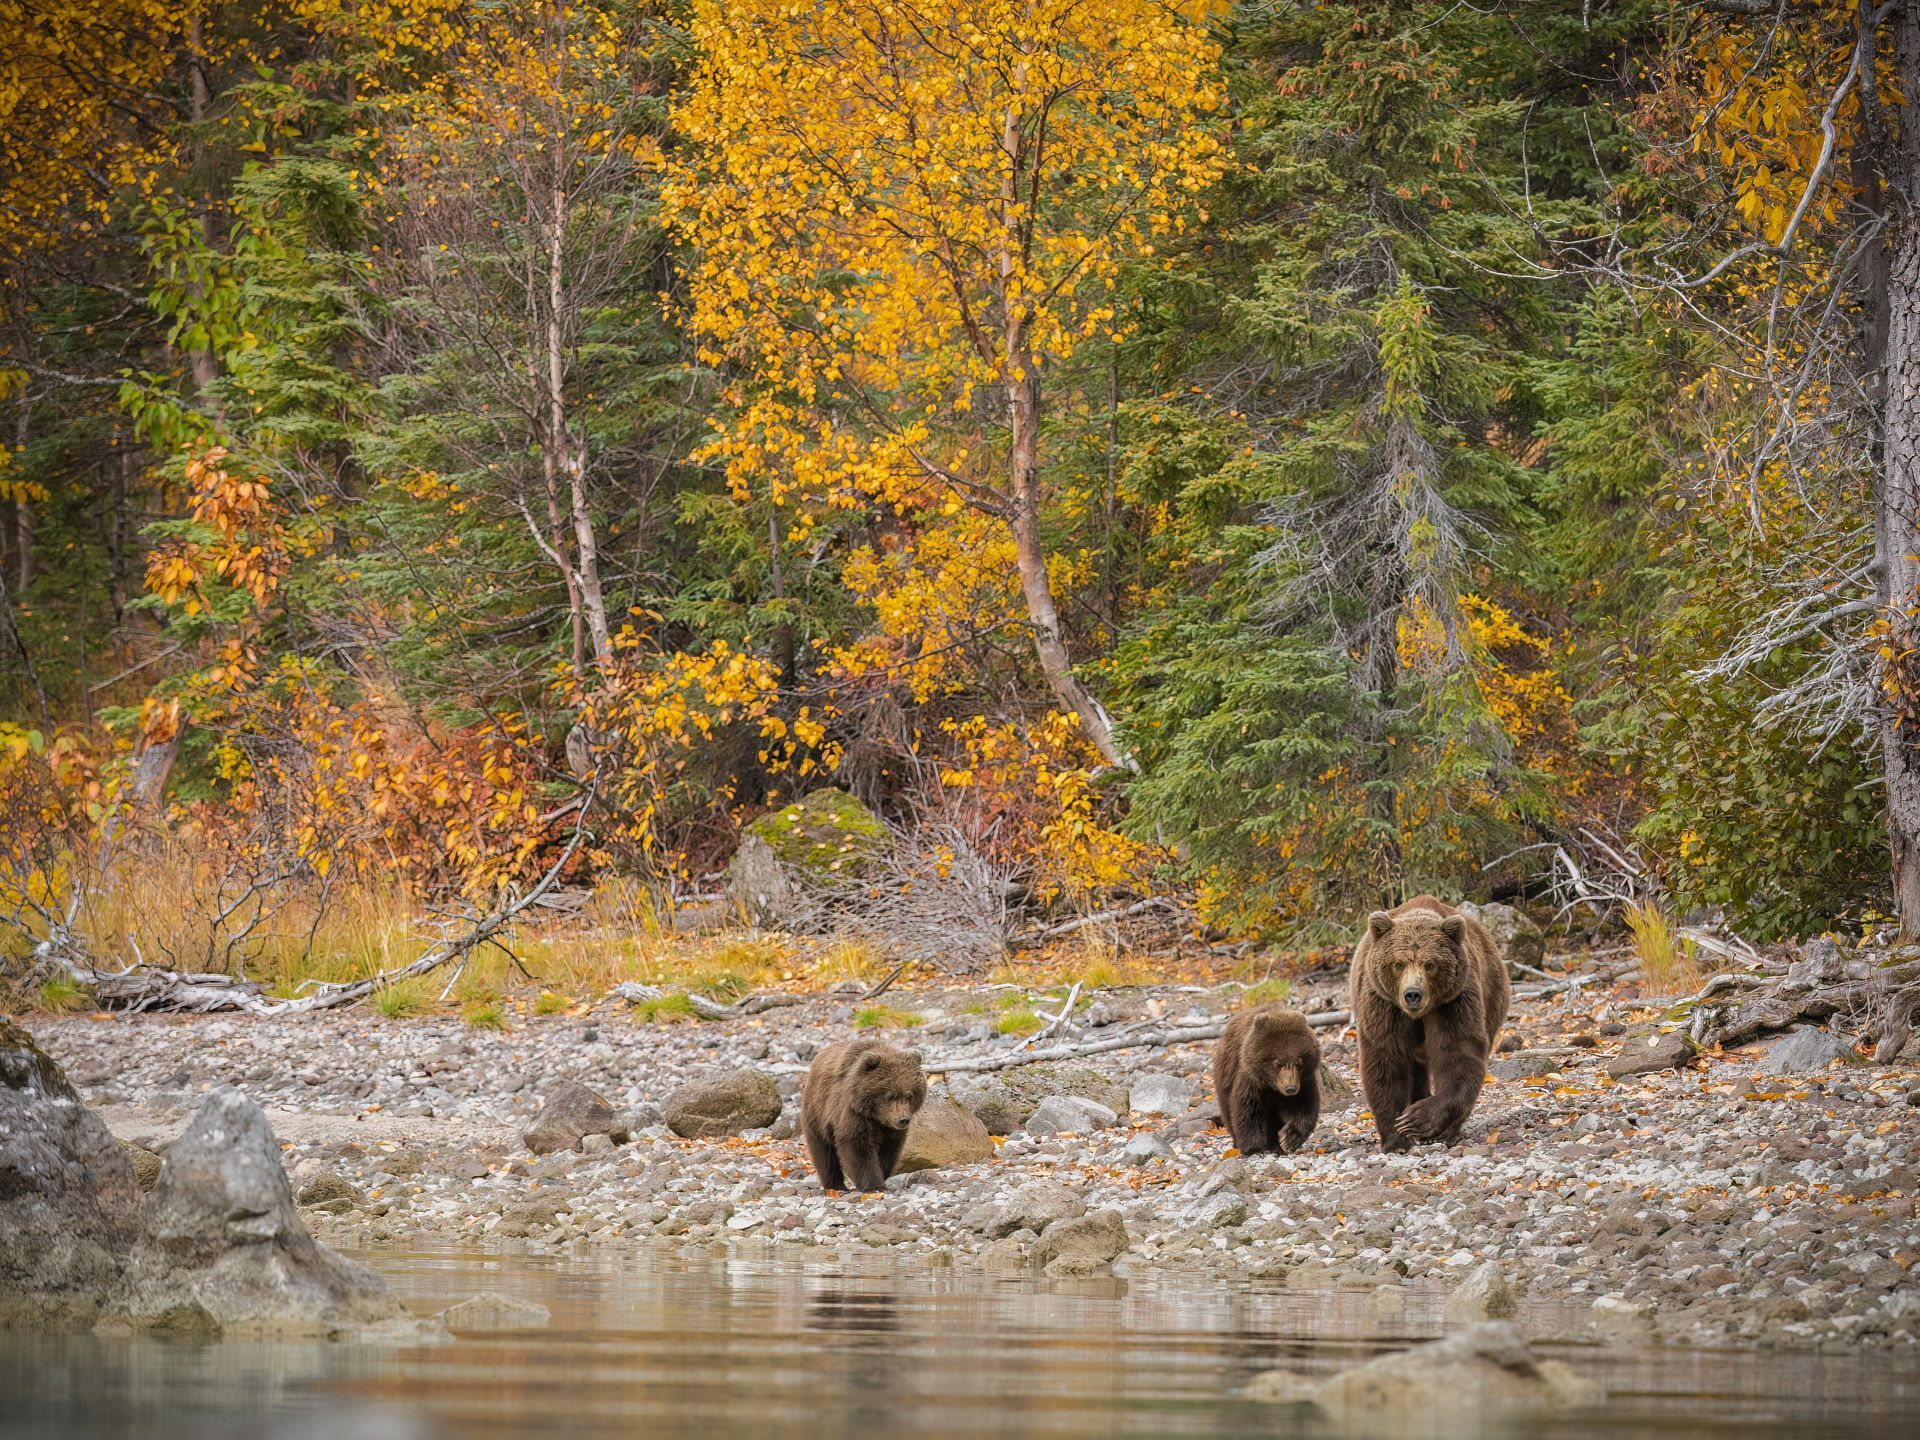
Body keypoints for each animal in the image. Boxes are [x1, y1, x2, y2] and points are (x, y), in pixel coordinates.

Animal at [801, 1037, 928, 1192]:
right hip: (817, 1112)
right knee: (824, 1152)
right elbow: (857, 1147)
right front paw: (875, 1185)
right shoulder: (853, 1114)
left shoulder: (890, 1129)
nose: (903, 1119)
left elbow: (889, 1149)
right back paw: (835, 1185)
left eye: (910, 1095)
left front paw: (882, 1173)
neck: (877, 1117)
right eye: (890, 1095)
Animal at [1211, 1004, 1322, 1155]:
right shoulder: (1252, 1081)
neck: (1272, 1086)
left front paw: (1289, 1139)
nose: (1290, 1088)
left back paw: (1274, 1145)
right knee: (1227, 1110)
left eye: (1299, 1062)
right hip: (1225, 1074)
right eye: (1278, 1063)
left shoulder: (1303, 1081)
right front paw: (1254, 1148)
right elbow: (1247, 1110)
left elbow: (1304, 1106)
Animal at [1349, 895, 1510, 1152]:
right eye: (1398, 963)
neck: (1418, 1015)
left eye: (1430, 964)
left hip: (1492, 996)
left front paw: (1417, 1120)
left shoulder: (1453, 1003)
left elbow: (1458, 1056)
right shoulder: (1385, 1007)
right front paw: (1397, 1138)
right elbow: (1385, 1060)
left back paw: (1448, 1132)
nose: (1413, 994)